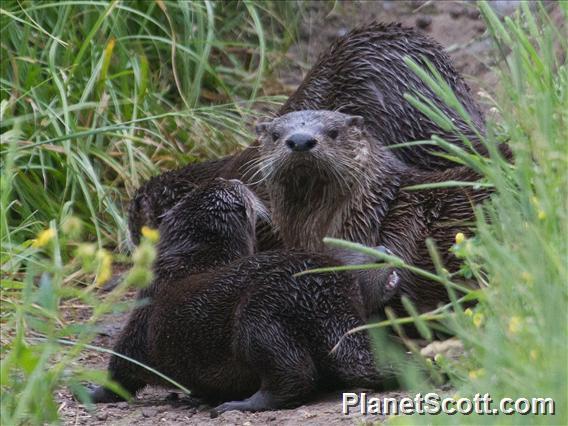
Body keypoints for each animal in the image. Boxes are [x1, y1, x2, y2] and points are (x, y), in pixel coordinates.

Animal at [90, 179, 400, 416]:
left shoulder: (141, 317)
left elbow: (121, 367)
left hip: (261, 314)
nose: (234, 179)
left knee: (293, 375)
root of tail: (323, 294)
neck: (192, 262)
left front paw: (93, 392)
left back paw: (236, 405)